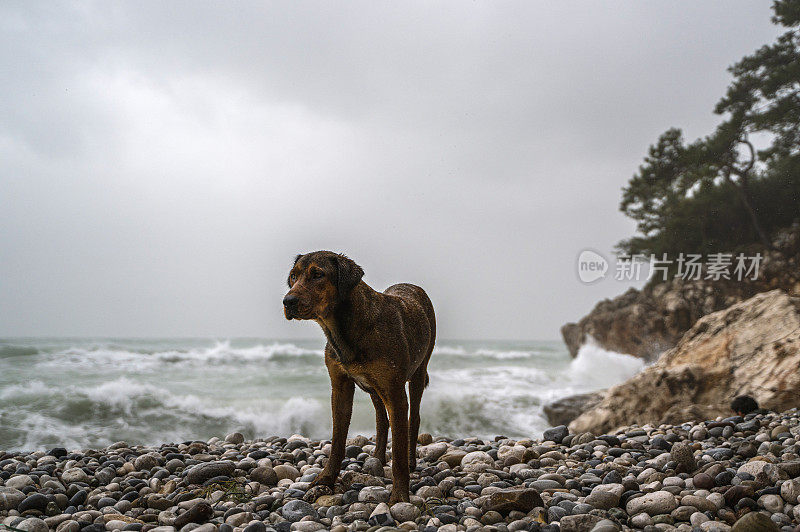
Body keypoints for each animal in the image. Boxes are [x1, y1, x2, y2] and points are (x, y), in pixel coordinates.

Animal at [282, 251, 438, 504]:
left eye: (318, 274)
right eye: (293, 276)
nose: (288, 302)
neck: (344, 327)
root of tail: (413, 286)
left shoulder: (395, 392)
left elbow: (399, 451)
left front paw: (399, 496)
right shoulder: (340, 386)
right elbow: (337, 440)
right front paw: (325, 479)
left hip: (418, 370)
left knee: (413, 417)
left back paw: (411, 461)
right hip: (373, 386)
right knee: (381, 419)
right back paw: (378, 457)